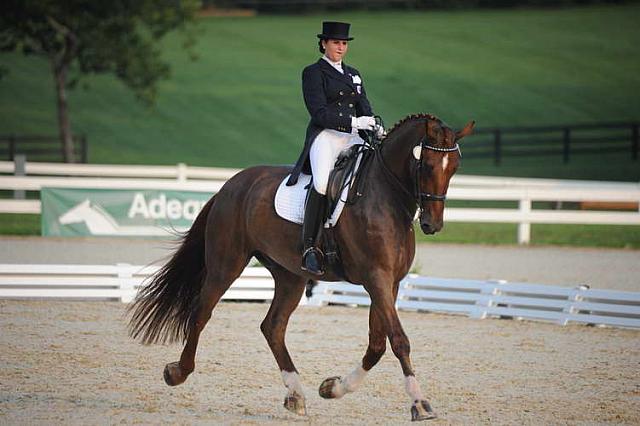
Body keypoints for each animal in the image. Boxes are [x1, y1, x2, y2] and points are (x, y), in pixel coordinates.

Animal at [126, 114, 476, 422]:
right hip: (227, 263)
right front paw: (420, 403)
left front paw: (332, 388)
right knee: (202, 312)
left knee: (273, 326)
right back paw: (177, 372)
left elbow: (378, 344)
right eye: (426, 165)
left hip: (291, 275)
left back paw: (296, 395)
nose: (432, 224)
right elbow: (398, 340)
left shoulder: (391, 282)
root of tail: (231, 184)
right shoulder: (376, 278)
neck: (384, 196)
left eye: (455, 168)